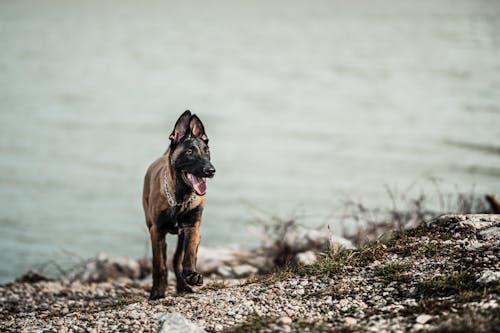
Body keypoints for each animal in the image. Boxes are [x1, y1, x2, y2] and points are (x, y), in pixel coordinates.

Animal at [144, 109, 216, 298]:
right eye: (190, 151)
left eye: (207, 151)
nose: (211, 171)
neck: (180, 199)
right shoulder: (157, 231)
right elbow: (159, 265)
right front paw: (158, 293)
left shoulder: (192, 228)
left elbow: (189, 254)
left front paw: (191, 274)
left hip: (182, 235)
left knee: (177, 259)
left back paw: (183, 285)